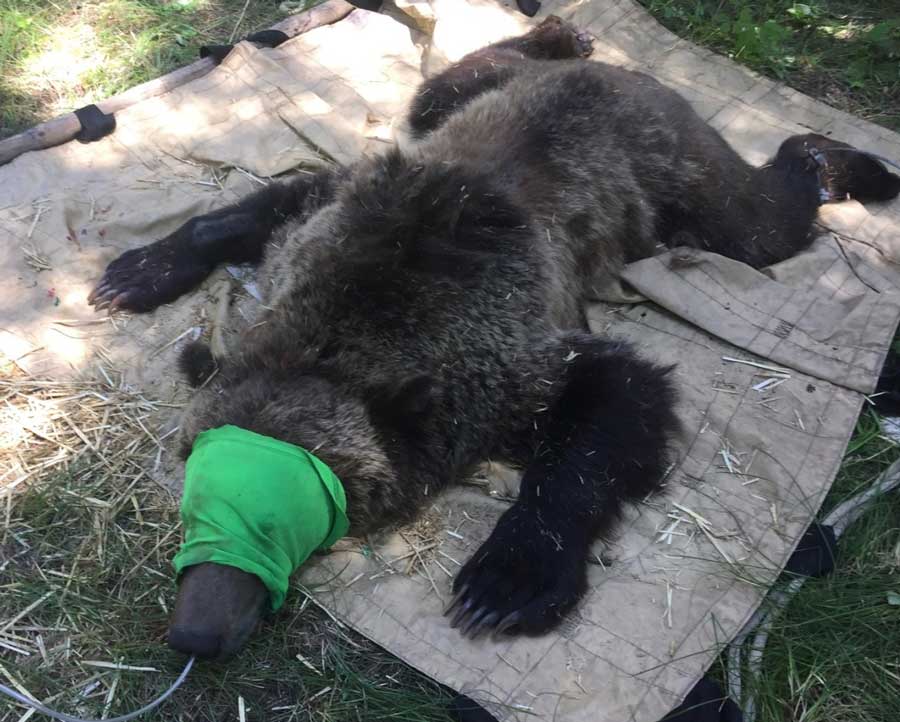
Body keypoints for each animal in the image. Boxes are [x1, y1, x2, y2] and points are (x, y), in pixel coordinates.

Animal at [88, 16, 900, 659]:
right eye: (195, 484)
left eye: (292, 513)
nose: (197, 631)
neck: (345, 335)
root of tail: (624, 76)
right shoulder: (338, 219)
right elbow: (274, 202)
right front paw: (141, 268)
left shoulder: (504, 358)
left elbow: (611, 403)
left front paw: (507, 579)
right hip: (471, 100)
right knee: (452, 80)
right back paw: (560, 34)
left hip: (678, 167)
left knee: (758, 219)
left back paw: (846, 163)